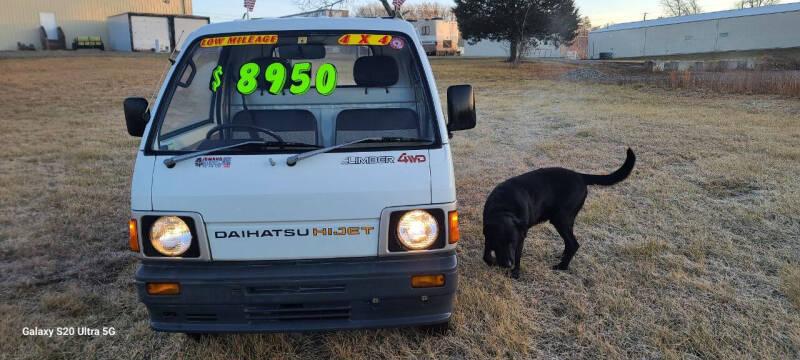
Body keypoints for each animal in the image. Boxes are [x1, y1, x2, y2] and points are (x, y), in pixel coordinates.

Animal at [484, 148, 636, 278]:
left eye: (513, 242)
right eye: (499, 242)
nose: (508, 264)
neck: (504, 207)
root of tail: (579, 176)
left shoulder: (520, 237)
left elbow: (517, 256)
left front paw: (515, 273)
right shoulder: (488, 234)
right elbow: (486, 256)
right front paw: (493, 261)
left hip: (560, 219)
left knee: (574, 244)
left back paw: (562, 266)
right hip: (567, 219)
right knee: (569, 243)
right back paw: (562, 258)